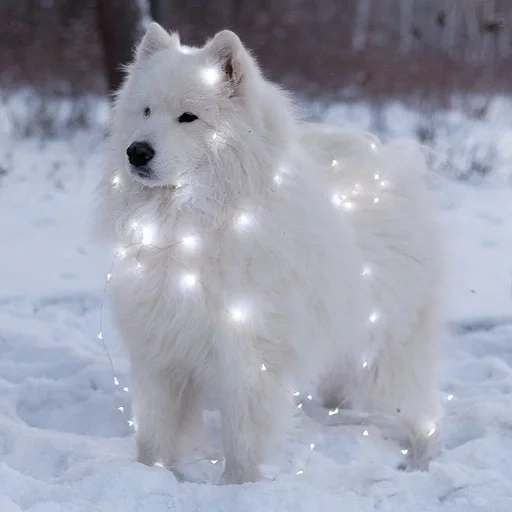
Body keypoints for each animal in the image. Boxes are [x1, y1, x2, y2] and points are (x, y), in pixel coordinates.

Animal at [96, 21, 444, 484]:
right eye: (146, 112)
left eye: (188, 117)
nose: (136, 152)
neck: (192, 227)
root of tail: (390, 169)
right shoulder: (159, 348)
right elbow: (155, 430)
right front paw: (148, 475)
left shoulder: (250, 354)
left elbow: (243, 437)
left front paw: (238, 486)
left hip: (391, 349)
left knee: (424, 409)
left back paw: (422, 458)